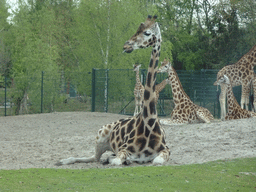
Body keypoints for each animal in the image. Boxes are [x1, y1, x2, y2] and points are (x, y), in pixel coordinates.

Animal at [55, 15, 170, 166]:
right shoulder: (124, 149)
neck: (149, 123)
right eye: (137, 29)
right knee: (94, 158)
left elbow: (156, 160)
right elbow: (116, 161)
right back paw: (62, 161)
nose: (126, 45)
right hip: (101, 135)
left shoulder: (166, 150)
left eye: (147, 33)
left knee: (96, 158)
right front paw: (115, 159)